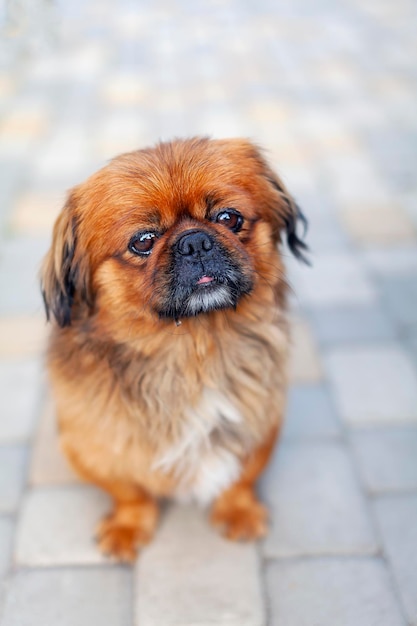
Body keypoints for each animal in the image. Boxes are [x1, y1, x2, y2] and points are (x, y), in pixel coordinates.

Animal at [40, 138, 308, 560]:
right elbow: (129, 490)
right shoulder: (90, 445)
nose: (194, 241)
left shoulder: (262, 422)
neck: (193, 351)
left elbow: (242, 476)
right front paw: (129, 526)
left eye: (229, 218)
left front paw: (238, 511)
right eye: (143, 241)